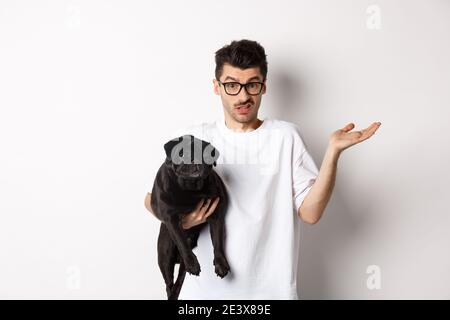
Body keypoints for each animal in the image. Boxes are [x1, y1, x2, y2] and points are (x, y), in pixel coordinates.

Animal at [151, 134, 230, 300]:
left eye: (205, 154)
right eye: (181, 153)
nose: (194, 159)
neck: (190, 189)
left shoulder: (216, 215)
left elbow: (217, 241)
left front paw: (221, 264)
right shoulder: (171, 219)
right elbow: (181, 240)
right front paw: (193, 263)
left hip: (180, 265)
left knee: (179, 280)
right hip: (165, 254)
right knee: (169, 284)